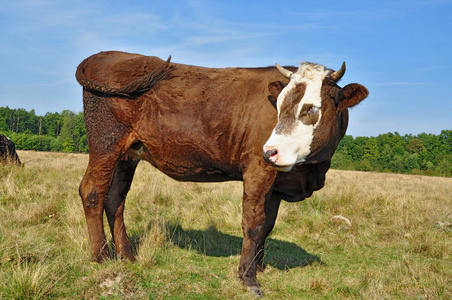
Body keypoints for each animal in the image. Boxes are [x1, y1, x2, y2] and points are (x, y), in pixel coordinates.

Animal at [76, 51, 370, 296]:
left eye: (311, 107)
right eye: (279, 105)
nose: (271, 151)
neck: (310, 171)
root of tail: (106, 54)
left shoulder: (276, 183)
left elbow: (268, 224)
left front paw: (258, 266)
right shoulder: (258, 168)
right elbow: (253, 223)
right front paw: (248, 278)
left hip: (127, 155)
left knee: (115, 200)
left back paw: (127, 255)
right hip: (106, 143)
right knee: (93, 191)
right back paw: (102, 256)